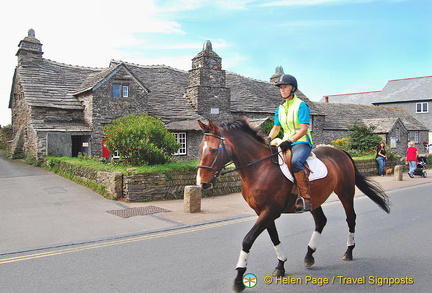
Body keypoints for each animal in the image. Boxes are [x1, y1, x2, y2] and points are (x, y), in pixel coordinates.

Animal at [197, 118, 392, 290]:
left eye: (213, 150)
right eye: (200, 149)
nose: (201, 183)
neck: (260, 168)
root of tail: (341, 152)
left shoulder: (270, 211)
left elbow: (247, 240)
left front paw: (239, 278)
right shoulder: (263, 212)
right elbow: (274, 238)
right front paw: (280, 266)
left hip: (345, 192)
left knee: (351, 218)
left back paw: (348, 252)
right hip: (315, 200)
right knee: (321, 221)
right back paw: (309, 255)